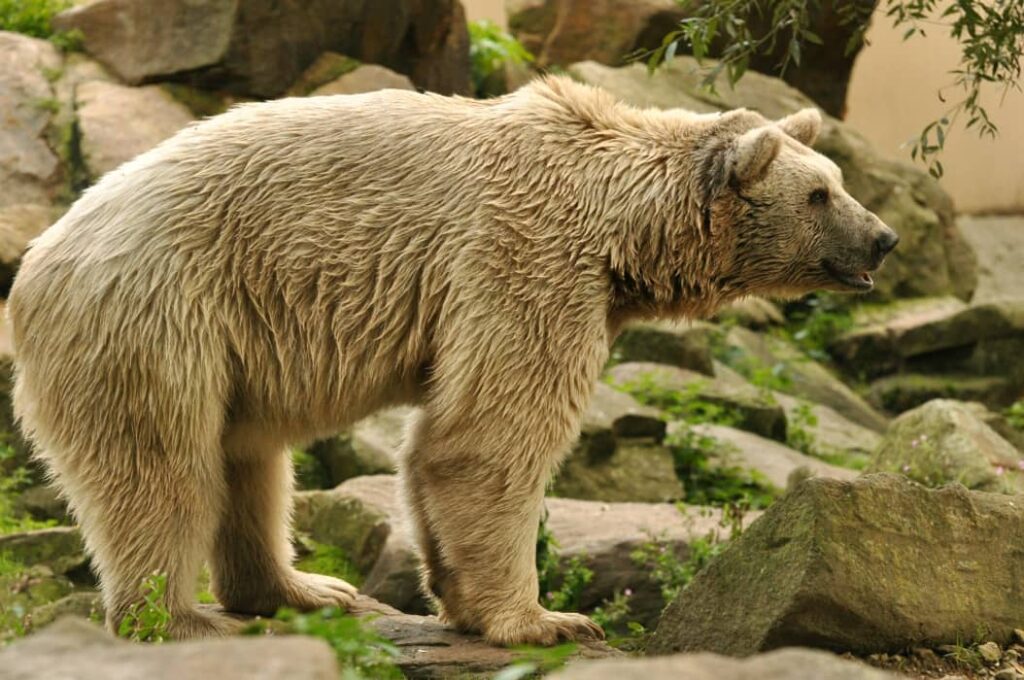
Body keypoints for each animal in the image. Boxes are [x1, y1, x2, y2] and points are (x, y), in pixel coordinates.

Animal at [8, 75, 898, 645]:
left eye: (836, 178)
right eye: (819, 195)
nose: (883, 239)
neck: (619, 217)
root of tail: (36, 264)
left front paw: (464, 603)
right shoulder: (527, 258)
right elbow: (489, 437)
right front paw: (547, 619)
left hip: (232, 344)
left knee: (248, 462)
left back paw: (303, 588)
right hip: (156, 317)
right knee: (162, 470)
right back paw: (178, 617)